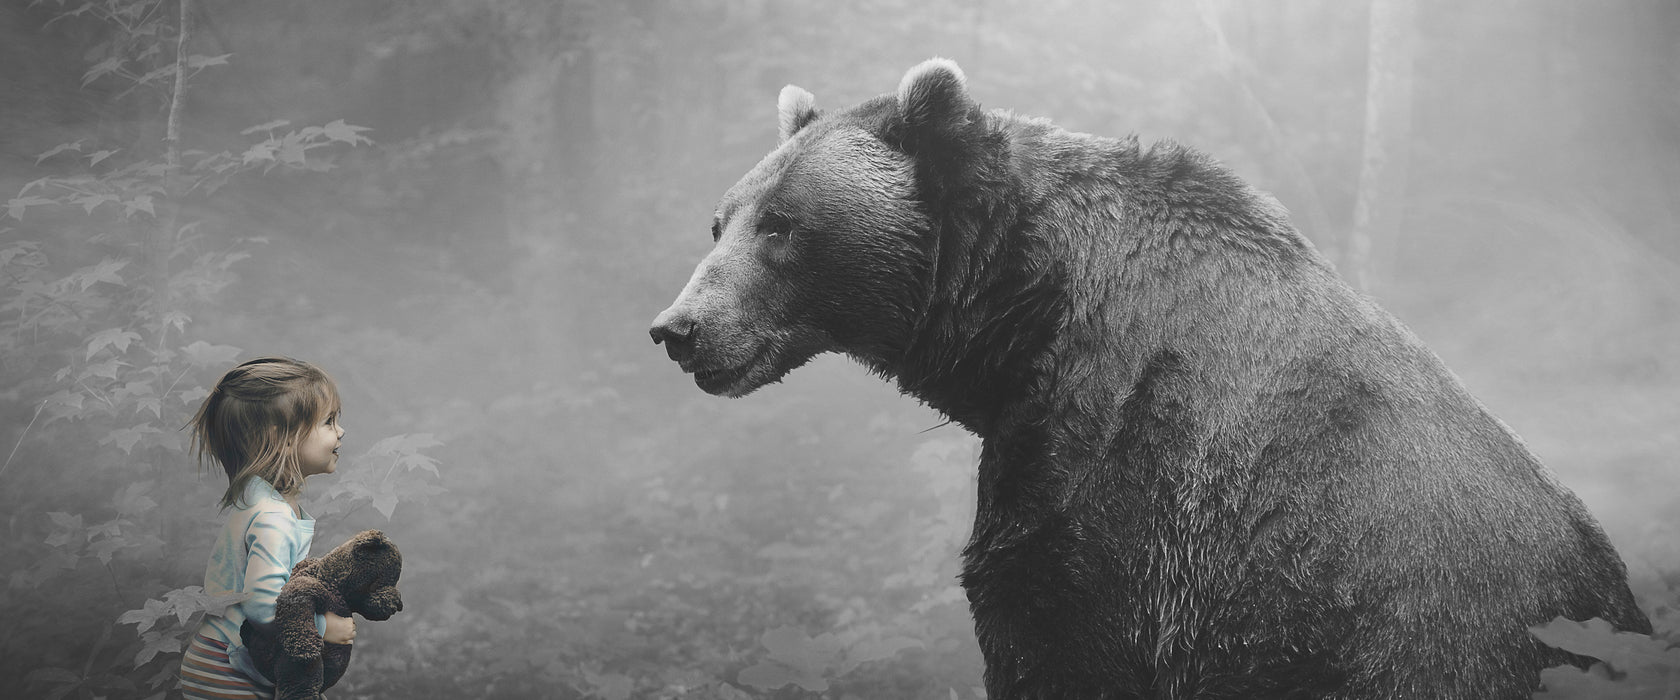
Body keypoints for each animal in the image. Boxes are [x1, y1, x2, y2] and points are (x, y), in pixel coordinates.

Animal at [241, 530, 404, 698]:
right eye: (382, 581)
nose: (398, 606)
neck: (335, 582)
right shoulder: (309, 587)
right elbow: (297, 598)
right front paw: (306, 648)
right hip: (290, 666)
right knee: (301, 680)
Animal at [648, 60, 1646, 698]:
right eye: (721, 220)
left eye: (781, 225)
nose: (678, 330)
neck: (1023, 324)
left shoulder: (1128, 478)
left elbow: (1058, 632)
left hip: (1442, 640)